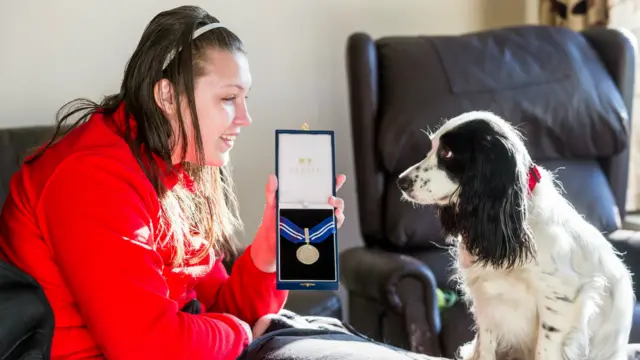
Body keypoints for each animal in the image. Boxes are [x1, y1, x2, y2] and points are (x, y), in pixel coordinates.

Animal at [398, 111, 632, 358]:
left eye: (447, 153)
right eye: (432, 148)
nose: (400, 181)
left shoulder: (560, 300)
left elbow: (544, 350)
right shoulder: (488, 303)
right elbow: (486, 348)